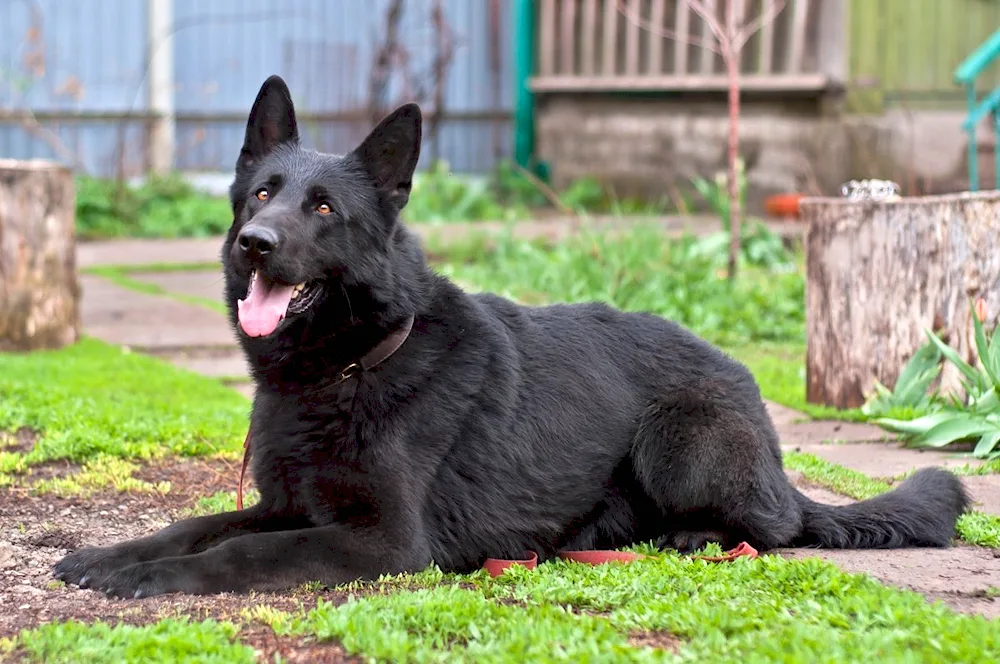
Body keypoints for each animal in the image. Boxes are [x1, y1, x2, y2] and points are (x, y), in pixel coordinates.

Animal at [52, 75, 968, 600]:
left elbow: (238, 555)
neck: (349, 367)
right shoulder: (283, 505)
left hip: (682, 438)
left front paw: (150, 579)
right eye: (262, 194)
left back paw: (701, 535)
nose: (255, 244)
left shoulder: (380, 542)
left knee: (777, 528)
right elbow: (201, 524)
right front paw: (115, 555)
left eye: (323, 209)